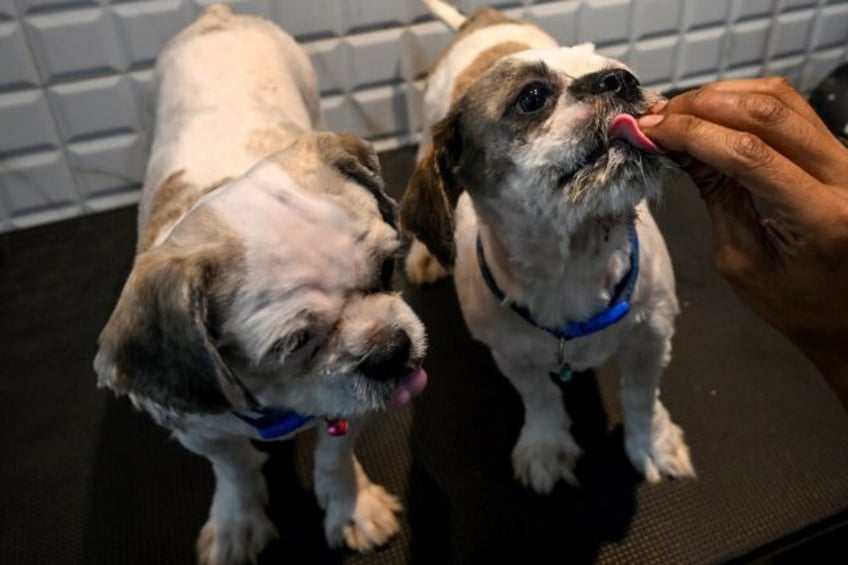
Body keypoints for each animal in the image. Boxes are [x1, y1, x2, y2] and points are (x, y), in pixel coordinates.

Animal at [93, 5, 428, 564]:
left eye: (387, 269)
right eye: (295, 343)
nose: (390, 348)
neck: (280, 403)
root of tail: (218, 16)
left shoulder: (350, 408)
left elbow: (334, 456)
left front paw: (351, 508)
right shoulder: (198, 428)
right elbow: (234, 468)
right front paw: (238, 523)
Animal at [404, 1, 696, 494]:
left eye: (621, 69)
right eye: (533, 97)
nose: (619, 79)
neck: (574, 261)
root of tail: (480, 19)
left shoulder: (651, 336)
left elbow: (641, 397)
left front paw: (652, 442)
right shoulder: (512, 354)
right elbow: (539, 397)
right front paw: (545, 445)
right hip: (427, 122)